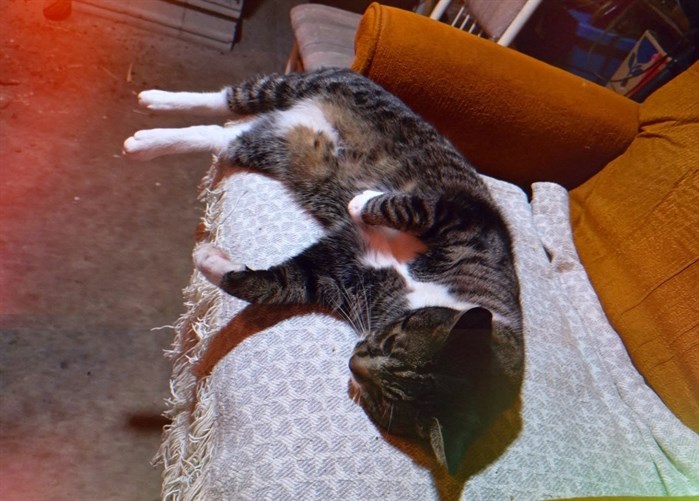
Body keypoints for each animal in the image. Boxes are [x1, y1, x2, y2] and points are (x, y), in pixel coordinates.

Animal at [123, 67, 524, 472]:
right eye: (393, 340)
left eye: (382, 398)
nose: (354, 362)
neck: (428, 293)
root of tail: (296, 114)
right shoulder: (464, 213)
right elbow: (407, 207)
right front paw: (362, 201)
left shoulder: (336, 271)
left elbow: (275, 284)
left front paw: (211, 260)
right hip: (309, 83)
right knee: (227, 99)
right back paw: (154, 105)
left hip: (268, 146)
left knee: (222, 135)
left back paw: (148, 140)